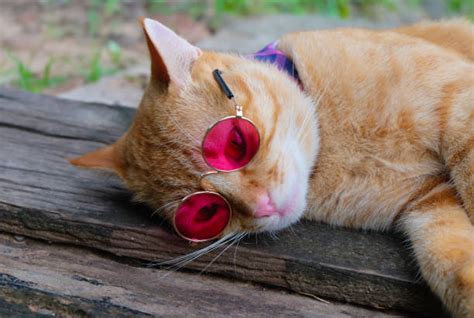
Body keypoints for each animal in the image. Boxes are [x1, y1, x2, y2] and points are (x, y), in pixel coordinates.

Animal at [71, 18, 474, 316]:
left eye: (236, 142)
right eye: (205, 212)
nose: (261, 206)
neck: (333, 152)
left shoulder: (461, 105)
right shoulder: (429, 202)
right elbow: (448, 260)